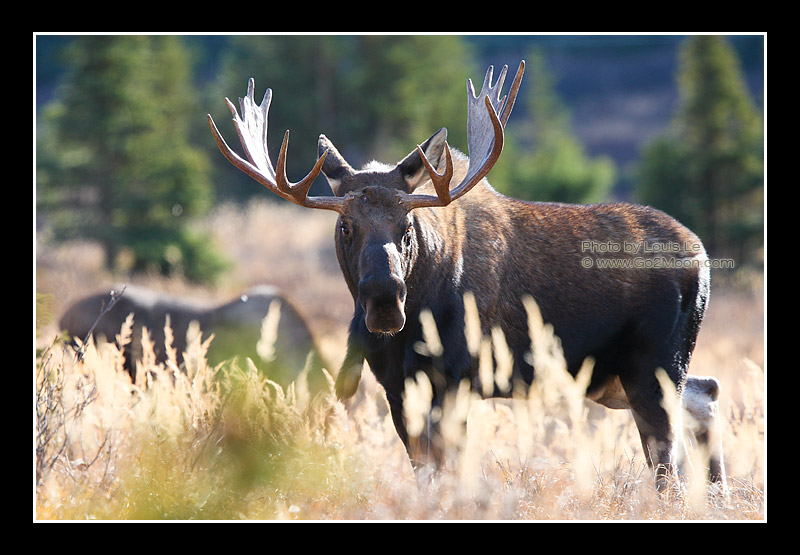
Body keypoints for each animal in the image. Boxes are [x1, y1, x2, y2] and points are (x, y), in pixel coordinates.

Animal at [207, 61, 726, 493]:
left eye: (407, 226)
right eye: (345, 226)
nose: (384, 301)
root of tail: (701, 259)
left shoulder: (455, 376)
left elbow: (445, 470)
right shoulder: (394, 383)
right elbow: (422, 469)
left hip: (652, 365)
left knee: (667, 457)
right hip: (617, 377)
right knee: (705, 394)